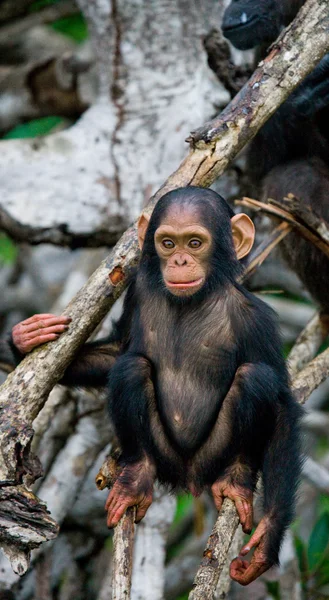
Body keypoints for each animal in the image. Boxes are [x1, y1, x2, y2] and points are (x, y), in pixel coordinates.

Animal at [0, 188, 302, 584]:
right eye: (167, 242)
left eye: (195, 242)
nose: (179, 260)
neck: (195, 301)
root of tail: (188, 480)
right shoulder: (137, 293)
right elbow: (118, 353)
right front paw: (23, 339)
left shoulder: (258, 321)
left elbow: (283, 405)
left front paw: (268, 538)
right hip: (163, 453)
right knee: (132, 368)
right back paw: (135, 479)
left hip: (213, 454)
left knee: (256, 378)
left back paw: (236, 479)